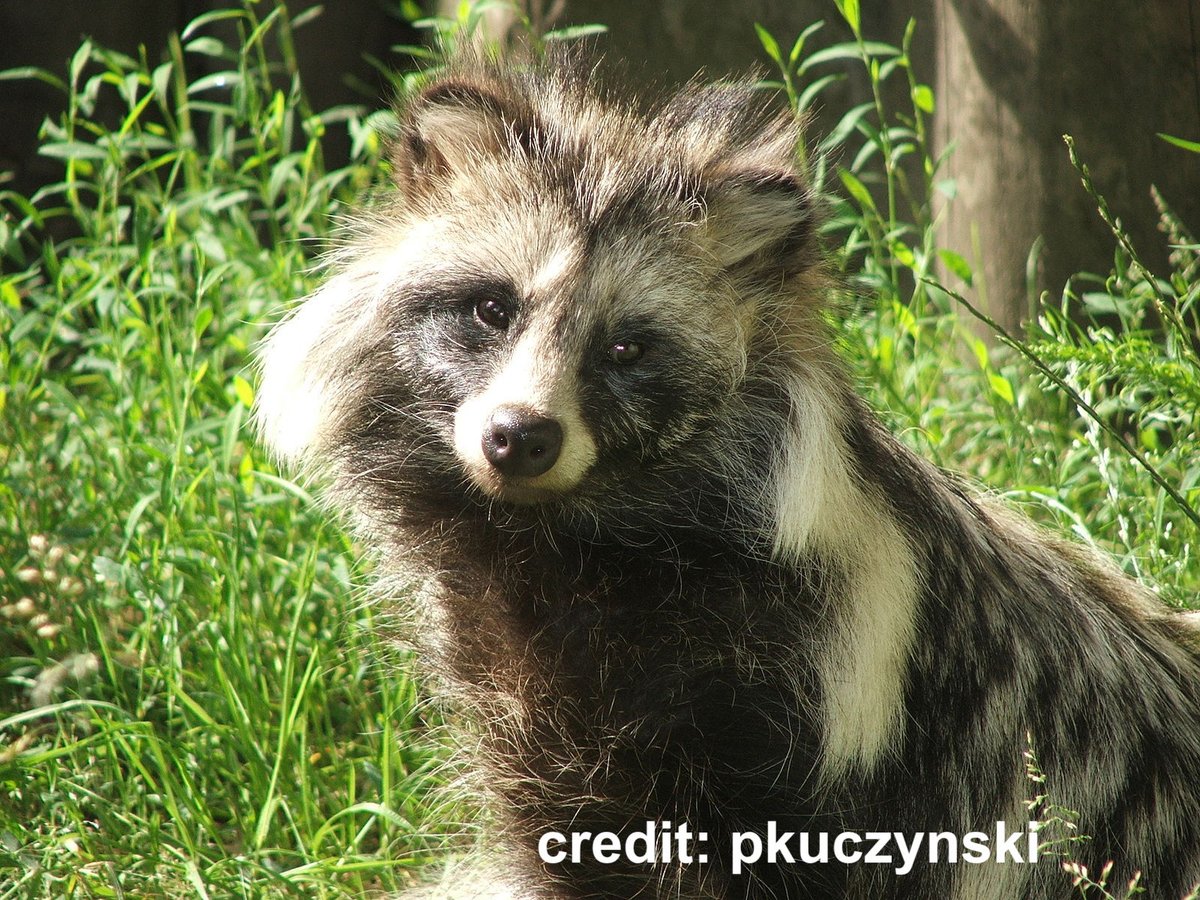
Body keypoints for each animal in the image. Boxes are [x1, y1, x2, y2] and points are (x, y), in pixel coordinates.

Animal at [254, 55, 1200, 899]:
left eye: (626, 348)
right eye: (492, 307)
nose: (518, 438)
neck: (570, 544)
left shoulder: (825, 712)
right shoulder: (537, 713)